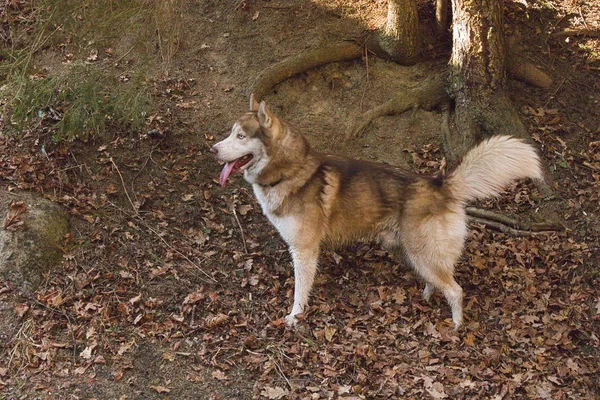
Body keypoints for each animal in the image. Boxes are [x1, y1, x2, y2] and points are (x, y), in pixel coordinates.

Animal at [212, 96, 544, 328]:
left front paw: (295, 317)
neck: (291, 171)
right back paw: (427, 296)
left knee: (456, 290)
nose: (214, 149)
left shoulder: (304, 251)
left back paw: (457, 325)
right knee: (437, 279)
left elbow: (299, 292)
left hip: (422, 252)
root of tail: (440, 184)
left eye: (241, 136)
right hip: (412, 252)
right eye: (230, 133)